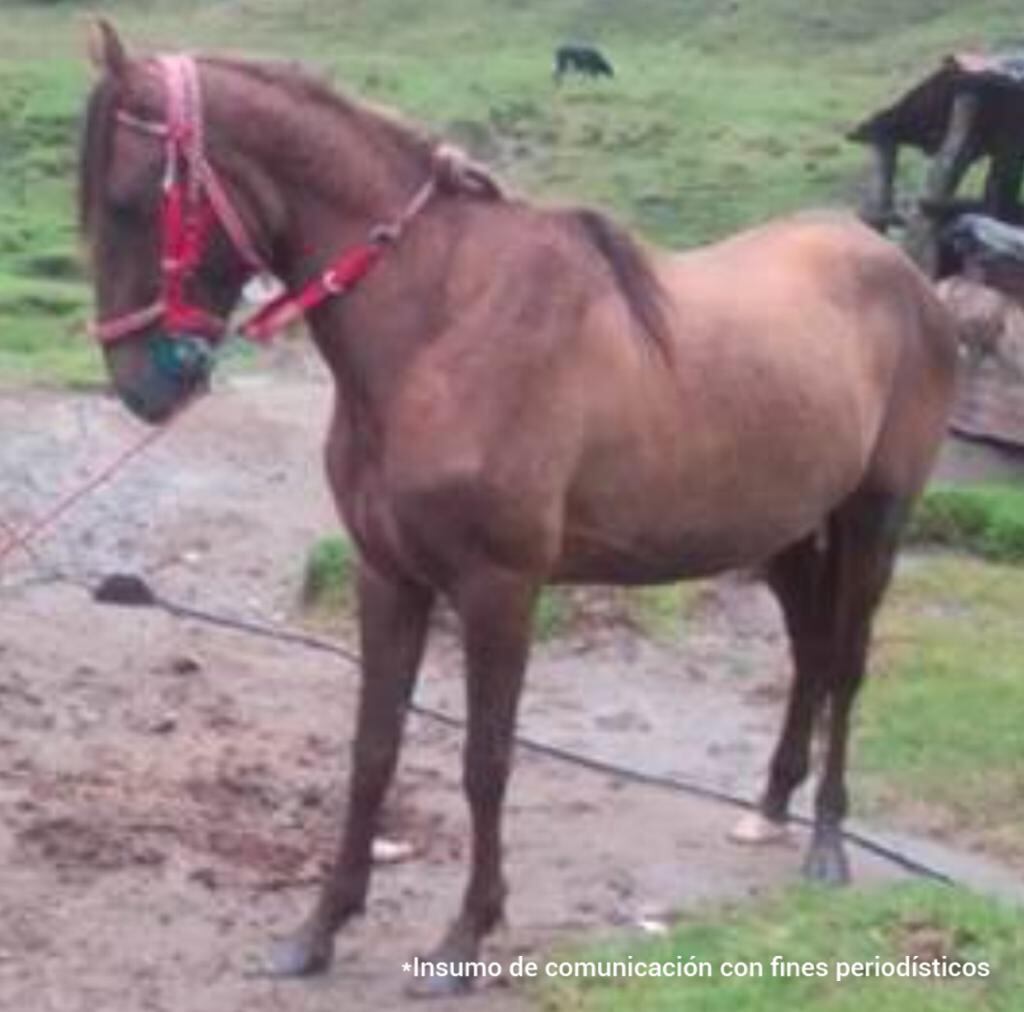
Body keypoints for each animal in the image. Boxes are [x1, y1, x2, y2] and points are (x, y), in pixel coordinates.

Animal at [79, 20, 958, 995]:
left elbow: (486, 761)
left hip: (874, 521)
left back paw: (828, 844)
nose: (141, 385)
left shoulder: (499, 590)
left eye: (128, 200)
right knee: (809, 654)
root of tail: (901, 272)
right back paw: (768, 808)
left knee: (845, 666)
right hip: (787, 534)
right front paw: (321, 928)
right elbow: (373, 751)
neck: (444, 323)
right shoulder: (389, 578)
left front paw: (466, 936)